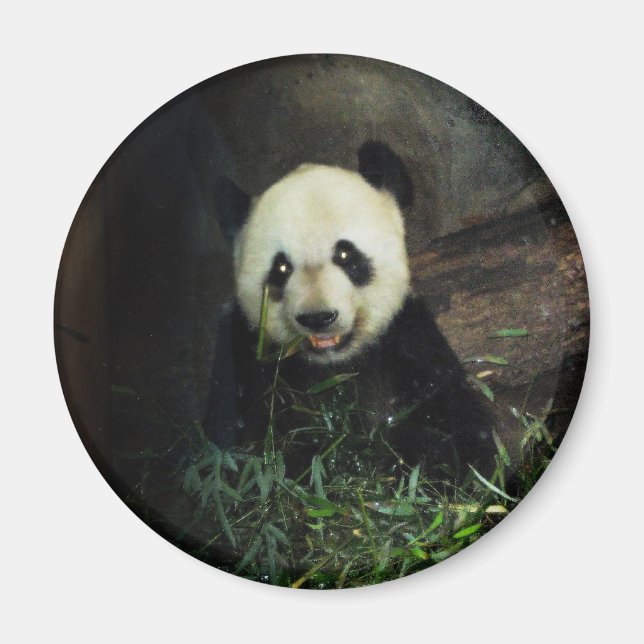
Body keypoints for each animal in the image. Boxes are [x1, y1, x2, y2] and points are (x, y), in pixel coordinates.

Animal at [204, 141, 496, 480]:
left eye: (345, 255)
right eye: (281, 268)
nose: (318, 318)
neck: (335, 365)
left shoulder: (407, 341)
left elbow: (456, 436)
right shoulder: (246, 358)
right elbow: (248, 454)